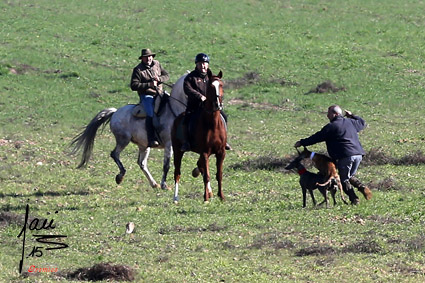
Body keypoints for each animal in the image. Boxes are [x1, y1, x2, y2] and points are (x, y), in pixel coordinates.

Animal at [171, 70, 227, 204]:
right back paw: (175, 198)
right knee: (177, 173)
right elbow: (207, 176)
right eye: (211, 86)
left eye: (221, 85)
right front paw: (205, 198)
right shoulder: (205, 153)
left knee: (199, 165)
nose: (218, 104)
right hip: (177, 151)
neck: (213, 124)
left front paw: (221, 196)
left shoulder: (221, 152)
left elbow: (219, 174)